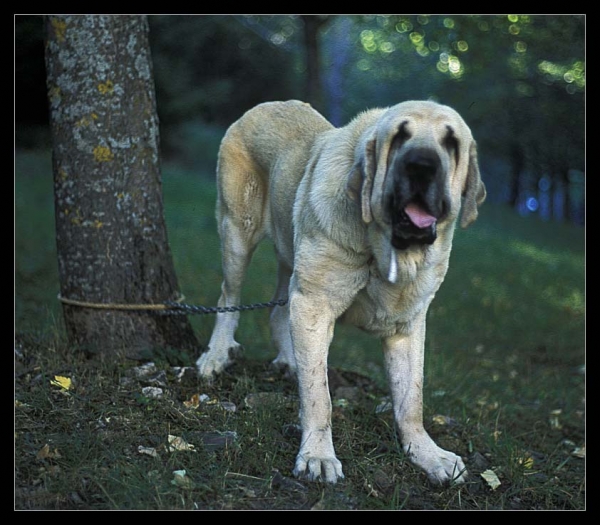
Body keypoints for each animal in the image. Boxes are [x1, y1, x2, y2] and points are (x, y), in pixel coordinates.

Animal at [197, 100, 488, 486]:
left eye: (451, 142)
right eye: (400, 136)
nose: (422, 165)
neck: (384, 251)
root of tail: (266, 104)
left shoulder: (407, 326)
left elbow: (412, 399)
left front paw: (427, 454)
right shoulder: (314, 304)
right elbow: (319, 396)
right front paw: (318, 457)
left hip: (289, 254)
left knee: (278, 311)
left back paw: (290, 361)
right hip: (237, 233)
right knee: (228, 298)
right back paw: (215, 356)